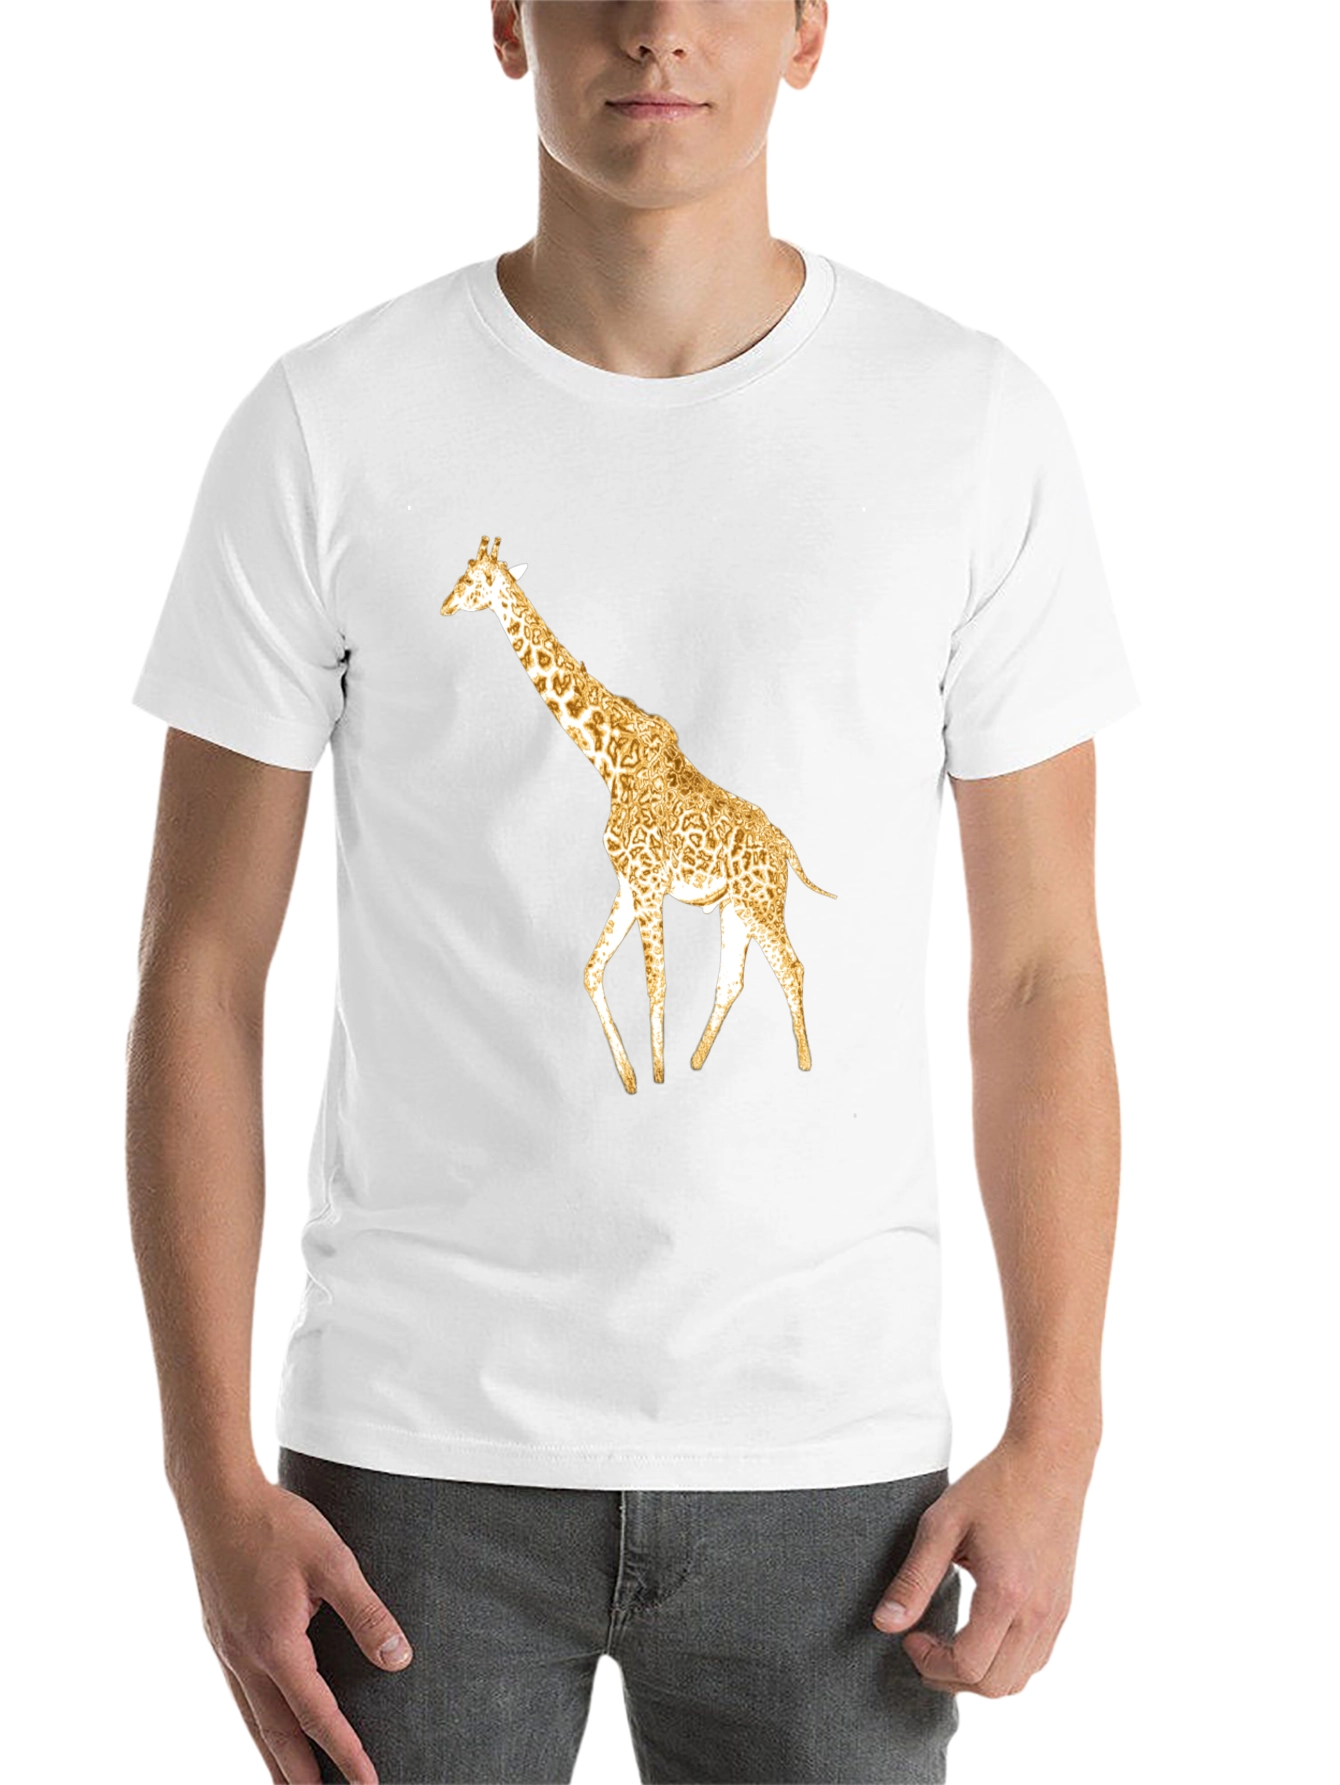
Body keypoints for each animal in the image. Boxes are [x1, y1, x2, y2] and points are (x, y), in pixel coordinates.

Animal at [441, 535, 836, 1094]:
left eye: (473, 580)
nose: (444, 605)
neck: (608, 759)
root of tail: (786, 847)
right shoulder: (628, 884)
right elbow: (592, 970)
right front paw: (630, 1077)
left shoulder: (649, 884)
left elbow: (656, 982)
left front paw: (656, 1077)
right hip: (735, 908)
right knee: (732, 981)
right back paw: (697, 1061)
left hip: (762, 903)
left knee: (790, 968)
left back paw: (802, 1064)